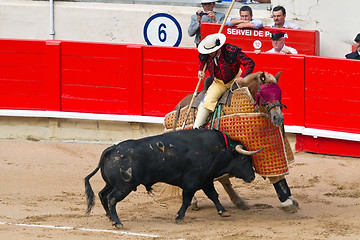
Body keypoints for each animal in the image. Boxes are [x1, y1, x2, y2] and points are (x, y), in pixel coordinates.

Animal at [84, 128, 258, 228]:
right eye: (244, 159)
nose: (252, 176)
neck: (218, 149)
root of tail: (113, 149)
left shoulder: (206, 180)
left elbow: (213, 195)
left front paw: (223, 211)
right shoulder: (192, 183)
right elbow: (186, 200)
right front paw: (179, 217)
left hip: (111, 184)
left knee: (102, 195)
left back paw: (109, 217)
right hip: (124, 186)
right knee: (112, 198)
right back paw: (118, 222)